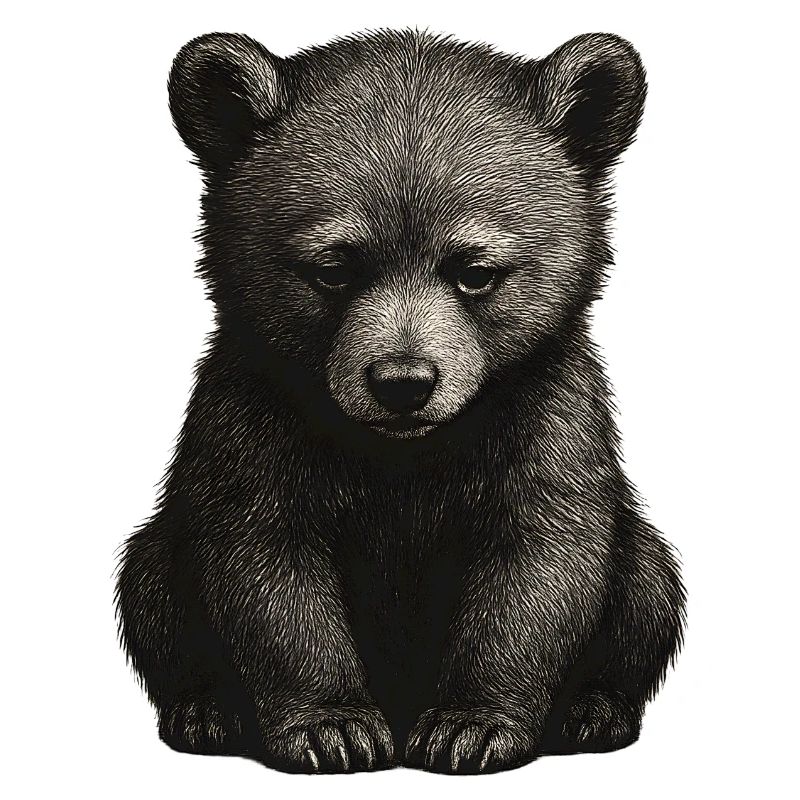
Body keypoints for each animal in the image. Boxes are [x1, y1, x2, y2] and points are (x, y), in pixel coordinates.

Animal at [116, 29, 685, 775]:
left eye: (475, 270)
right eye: (334, 267)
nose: (403, 382)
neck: (403, 454)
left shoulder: (549, 416)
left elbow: (538, 565)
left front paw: (471, 726)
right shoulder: (250, 419)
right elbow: (267, 568)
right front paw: (332, 726)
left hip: (638, 555)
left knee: (649, 587)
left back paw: (593, 712)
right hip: (164, 549)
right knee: (151, 588)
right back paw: (206, 712)